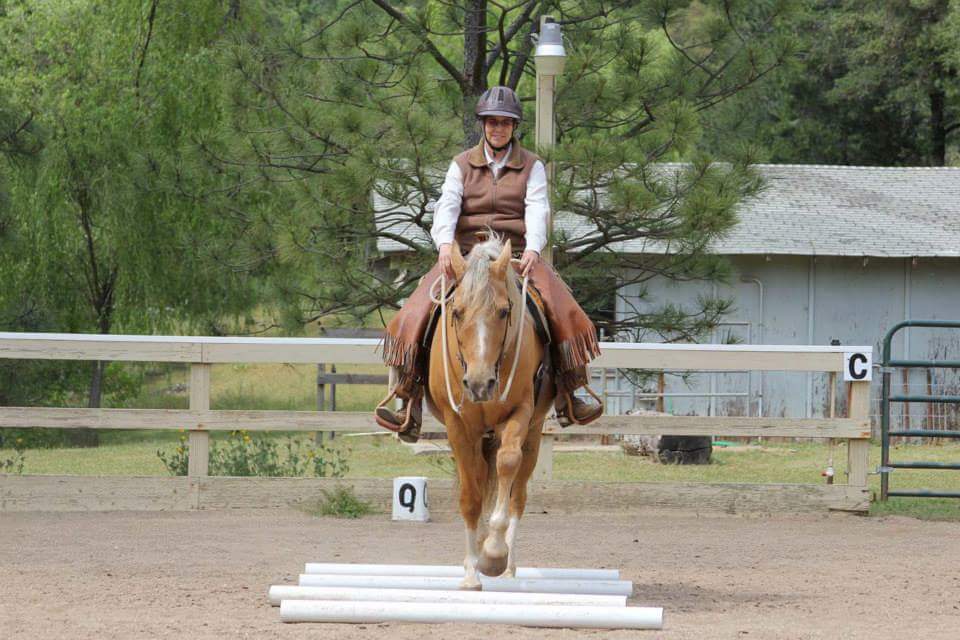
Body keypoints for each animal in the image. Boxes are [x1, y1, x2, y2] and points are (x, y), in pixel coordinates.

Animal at [428, 235, 556, 592]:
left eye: (503, 311)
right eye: (457, 312)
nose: (479, 383)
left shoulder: (520, 413)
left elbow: (507, 465)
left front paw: (494, 555)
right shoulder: (458, 427)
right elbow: (470, 497)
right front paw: (472, 572)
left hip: (533, 435)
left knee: (517, 495)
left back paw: (508, 566)